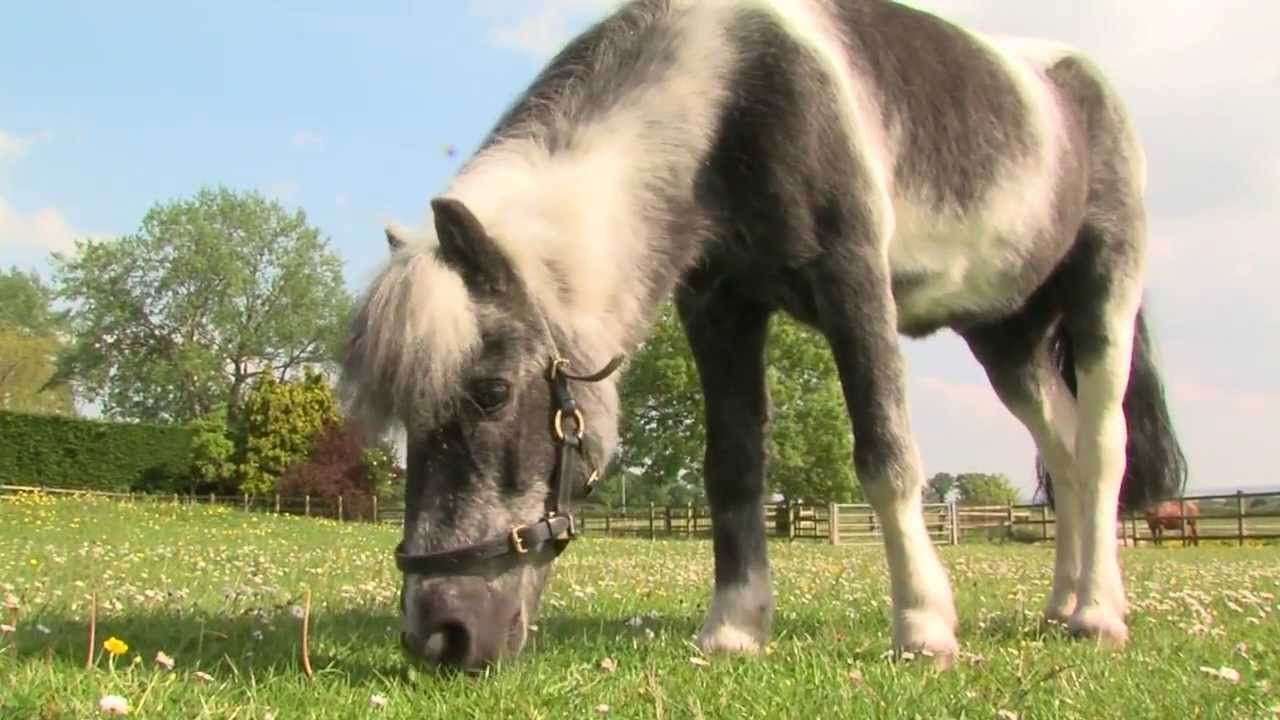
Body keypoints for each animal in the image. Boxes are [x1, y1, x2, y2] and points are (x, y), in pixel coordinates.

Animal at [340, 0, 1188, 672]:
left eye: (490, 391)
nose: (438, 634)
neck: (734, 98)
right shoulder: (720, 309)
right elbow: (734, 470)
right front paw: (735, 629)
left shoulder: (855, 287)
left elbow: (885, 457)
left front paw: (923, 628)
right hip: (1006, 339)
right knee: (1065, 454)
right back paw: (1062, 605)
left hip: (1103, 292)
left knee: (1102, 448)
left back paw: (1097, 614)